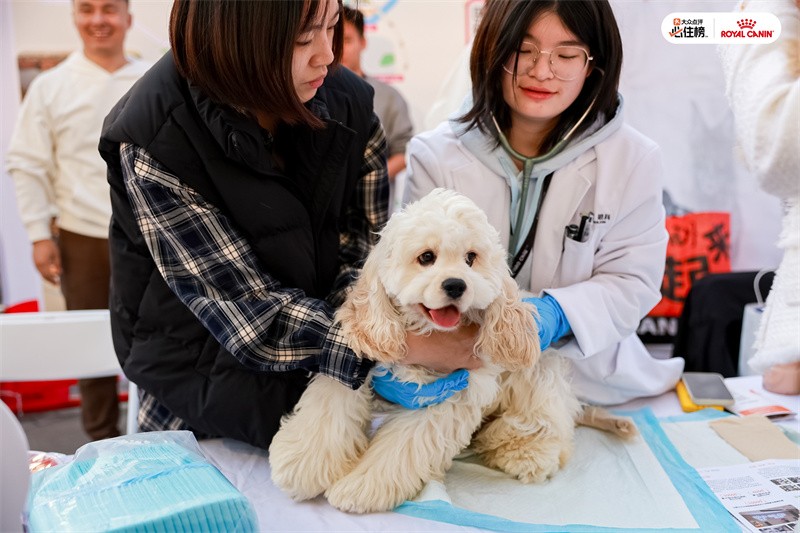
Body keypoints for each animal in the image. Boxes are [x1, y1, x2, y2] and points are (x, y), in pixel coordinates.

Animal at [272, 186, 628, 512]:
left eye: (471, 259)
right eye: (426, 257)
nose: (456, 285)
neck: (427, 332)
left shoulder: (448, 397)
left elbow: (400, 448)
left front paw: (361, 488)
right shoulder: (357, 360)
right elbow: (329, 408)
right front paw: (301, 464)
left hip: (541, 379)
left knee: (547, 428)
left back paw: (517, 448)